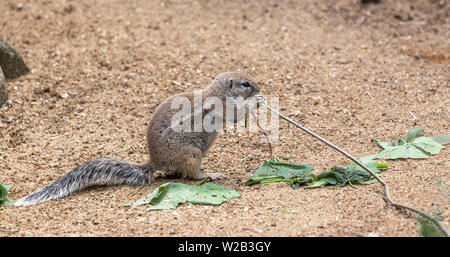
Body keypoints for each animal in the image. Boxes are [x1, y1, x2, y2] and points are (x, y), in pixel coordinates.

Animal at [15, 71, 260, 205]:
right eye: (245, 83)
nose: (259, 87)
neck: (217, 91)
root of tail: (155, 162)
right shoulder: (223, 107)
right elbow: (236, 115)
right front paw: (256, 102)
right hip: (192, 154)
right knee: (190, 174)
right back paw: (211, 174)